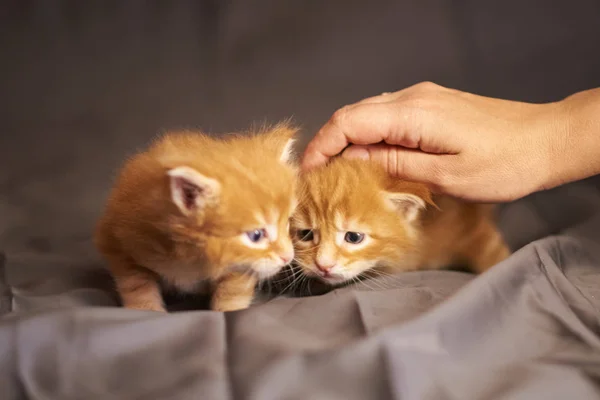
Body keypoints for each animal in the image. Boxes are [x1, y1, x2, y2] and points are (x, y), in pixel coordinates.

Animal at [94, 123, 298, 310]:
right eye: (256, 235)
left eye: (287, 223)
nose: (288, 257)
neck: (191, 258)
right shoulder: (118, 241)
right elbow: (136, 286)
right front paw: (147, 311)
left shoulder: (240, 266)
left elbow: (233, 290)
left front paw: (229, 310)